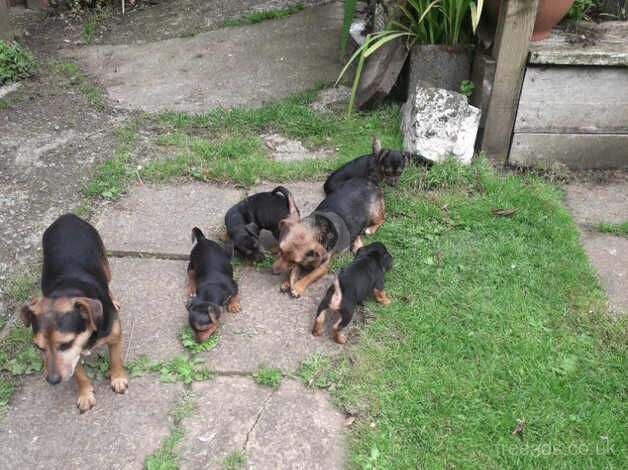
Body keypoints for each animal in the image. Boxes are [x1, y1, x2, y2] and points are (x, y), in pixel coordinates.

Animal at [19, 215, 127, 414]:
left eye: (65, 344)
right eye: (38, 347)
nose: (52, 380)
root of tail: (67, 216)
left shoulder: (114, 337)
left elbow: (115, 360)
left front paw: (118, 379)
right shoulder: (73, 355)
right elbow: (78, 374)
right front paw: (85, 394)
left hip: (104, 262)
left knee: (108, 282)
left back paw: (113, 298)